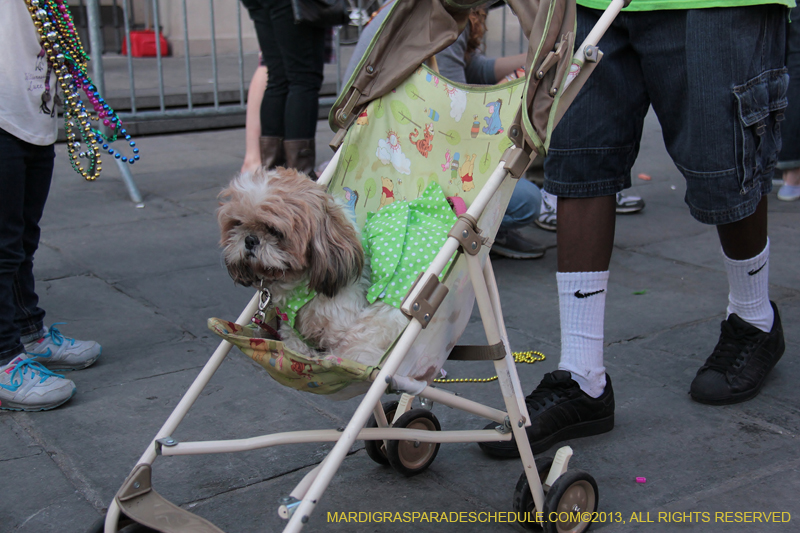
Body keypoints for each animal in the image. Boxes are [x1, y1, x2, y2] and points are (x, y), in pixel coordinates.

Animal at [216, 167, 406, 366]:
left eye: (275, 231)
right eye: (237, 224)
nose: (250, 239)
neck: (299, 288)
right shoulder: (288, 326)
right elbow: (292, 340)